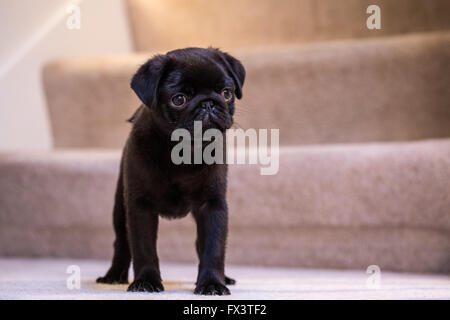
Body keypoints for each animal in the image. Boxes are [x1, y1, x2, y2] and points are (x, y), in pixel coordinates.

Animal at [97, 47, 246, 296]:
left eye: (226, 93)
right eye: (179, 99)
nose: (208, 104)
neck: (184, 152)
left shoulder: (213, 206)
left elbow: (213, 247)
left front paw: (212, 282)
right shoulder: (140, 205)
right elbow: (143, 247)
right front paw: (146, 281)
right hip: (120, 206)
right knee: (122, 242)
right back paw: (114, 275)